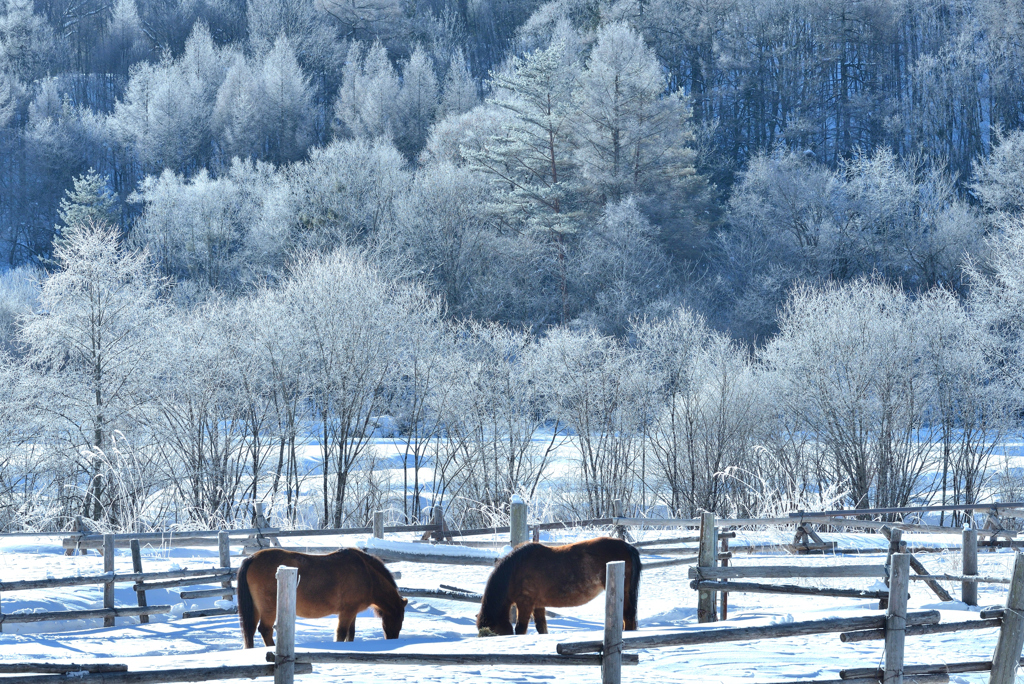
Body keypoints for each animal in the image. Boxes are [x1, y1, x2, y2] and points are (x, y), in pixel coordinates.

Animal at [234, 544, 403, 647]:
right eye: (399, 620)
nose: (392, 639)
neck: (367, 573)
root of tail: (252, 558)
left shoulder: (352, 613)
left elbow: (350, 634)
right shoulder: (347, 612)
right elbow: (341, 633)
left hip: (255, 608)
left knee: (250, 631)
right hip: (269, 609)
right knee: (265, 630)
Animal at [473, 532, 634, 634]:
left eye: (493, 632)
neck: (515, 570)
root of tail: (627, 546)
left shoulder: (525, 603)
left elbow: (520, 629)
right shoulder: (538, 605)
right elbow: (542, 628)